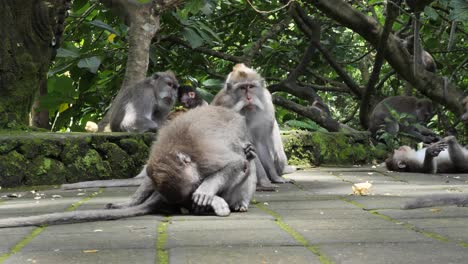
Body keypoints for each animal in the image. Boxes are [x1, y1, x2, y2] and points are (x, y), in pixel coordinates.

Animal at [0, 105, 256, 227]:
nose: (187, 203)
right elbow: (237, 162)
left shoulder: (203, 154)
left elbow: (236, 163)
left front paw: (205, 193)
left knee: (247, 164)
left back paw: (236, 202)